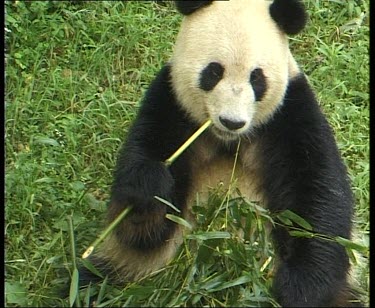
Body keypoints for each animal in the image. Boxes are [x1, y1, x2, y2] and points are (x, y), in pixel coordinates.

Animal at [81, 1, 358, 306]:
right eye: (214, 72)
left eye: (257, 78)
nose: (231, 121)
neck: (229, 141)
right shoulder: (169, 107)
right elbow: (142, 228)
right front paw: (149, 188)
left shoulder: (291, 117)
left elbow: (319, 201)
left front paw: (298, 291)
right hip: (118, 270)